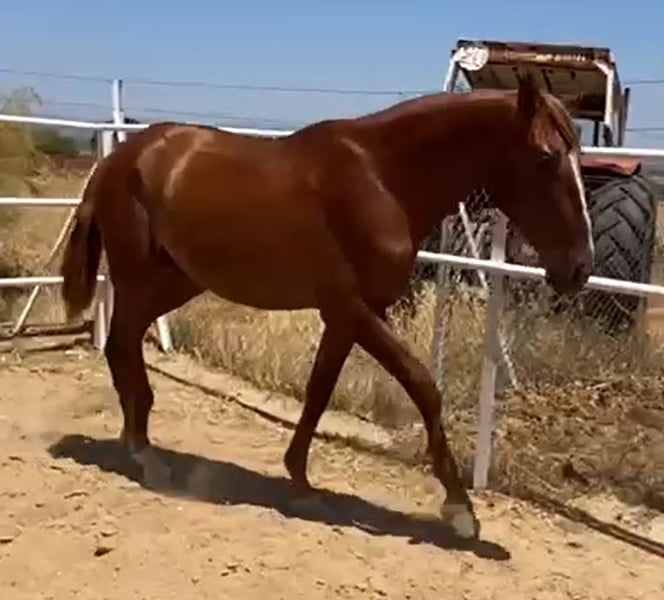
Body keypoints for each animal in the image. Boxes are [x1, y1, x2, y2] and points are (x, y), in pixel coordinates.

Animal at [59, 75, 592, 541]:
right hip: (137, 277)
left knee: (125, 344)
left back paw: (139, 442)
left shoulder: (343, 317)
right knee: (121, 344)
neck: (381, 179)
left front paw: (300, 482)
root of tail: (120, 158)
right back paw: (144, 455)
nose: (579, 269)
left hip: (177, 280)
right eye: (546, 156)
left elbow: (318, 392)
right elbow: (423, 386)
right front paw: (460, 509)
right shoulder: (354, 308)